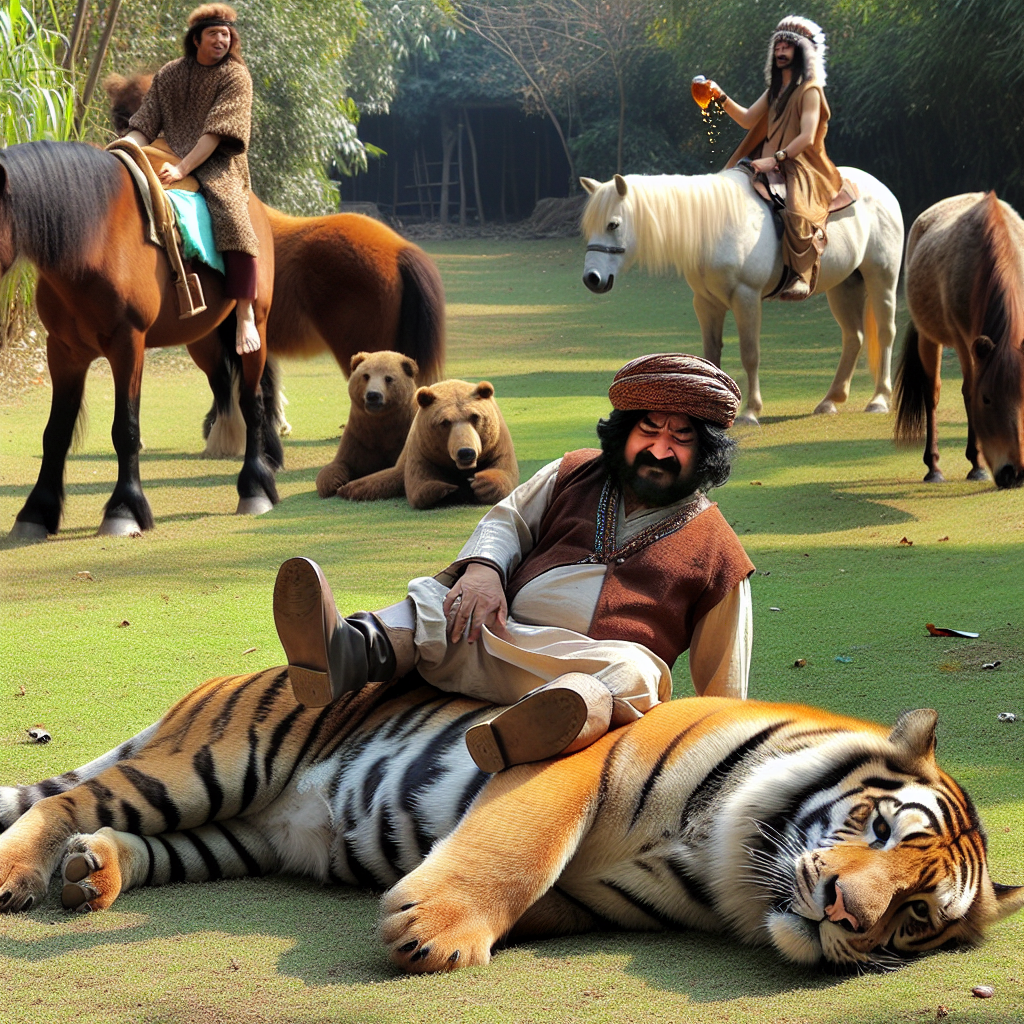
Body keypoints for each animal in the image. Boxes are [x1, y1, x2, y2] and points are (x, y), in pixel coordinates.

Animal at [1, 668, 1021, 973]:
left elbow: (542, 899)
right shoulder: (575, 753)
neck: (728, 859)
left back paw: (90, 873)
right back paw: (22, 875)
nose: (847, 914)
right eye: (880, 829)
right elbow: (523, 844)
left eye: (917, 916)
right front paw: (438, 933)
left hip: (238, 830)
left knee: (127, 835)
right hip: (214, 764)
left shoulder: (601, 898)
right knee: (61, 799)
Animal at [315, 351, 419, 498]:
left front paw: (348, 488)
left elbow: (398, 472)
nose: (373, 395)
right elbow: (339, 464)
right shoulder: (359, 437)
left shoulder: (406, 433)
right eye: (366, 376)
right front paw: (333, 484)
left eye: (388, 378)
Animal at [337, 379, 519, 509]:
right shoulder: (422, 448)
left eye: (475, 416)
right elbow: (419, 484)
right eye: (445, 422)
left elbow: (504, 471)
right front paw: (448, 489)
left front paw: (481, 484)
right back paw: (345, 488)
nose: (466, 452)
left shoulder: (497, 444)